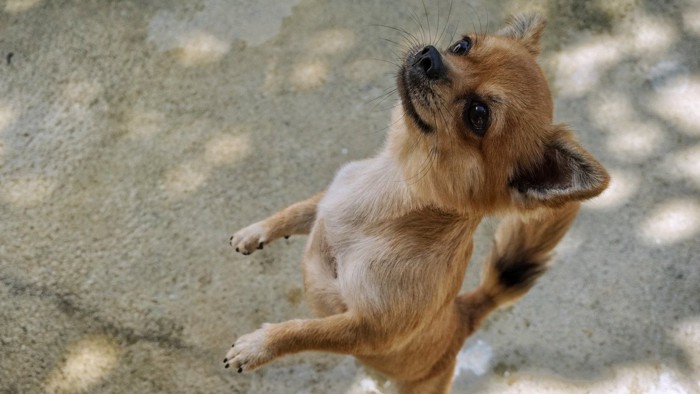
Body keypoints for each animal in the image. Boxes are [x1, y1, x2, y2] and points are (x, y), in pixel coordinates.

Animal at [223, 13, 608, 394]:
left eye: (478, 115)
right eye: (462, 45)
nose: (430, 57)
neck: (390, 182)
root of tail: (463, 320)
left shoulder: (368, 330)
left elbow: (307, 331)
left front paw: (259, 346)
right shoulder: (325, 205)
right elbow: (293, 213)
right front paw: (254, 232)